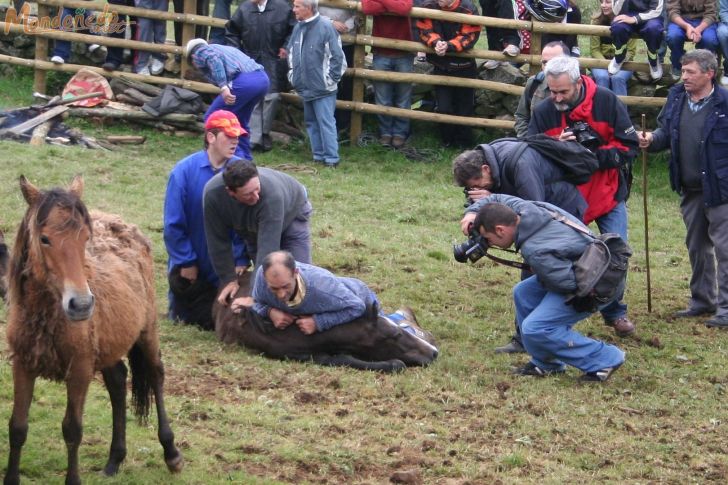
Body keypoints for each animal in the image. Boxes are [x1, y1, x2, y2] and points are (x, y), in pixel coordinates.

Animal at [5, 176, 183, 482]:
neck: (47, 317)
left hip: (147, 331)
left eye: (85, 238)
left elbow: (72, 430)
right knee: (117, 381)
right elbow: (17, 427)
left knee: (156, 374)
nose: (81, 305)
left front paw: (73, 479)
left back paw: (171, 453)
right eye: (44, 238)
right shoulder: (23, 365)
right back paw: (114, 459)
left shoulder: (79, 370)